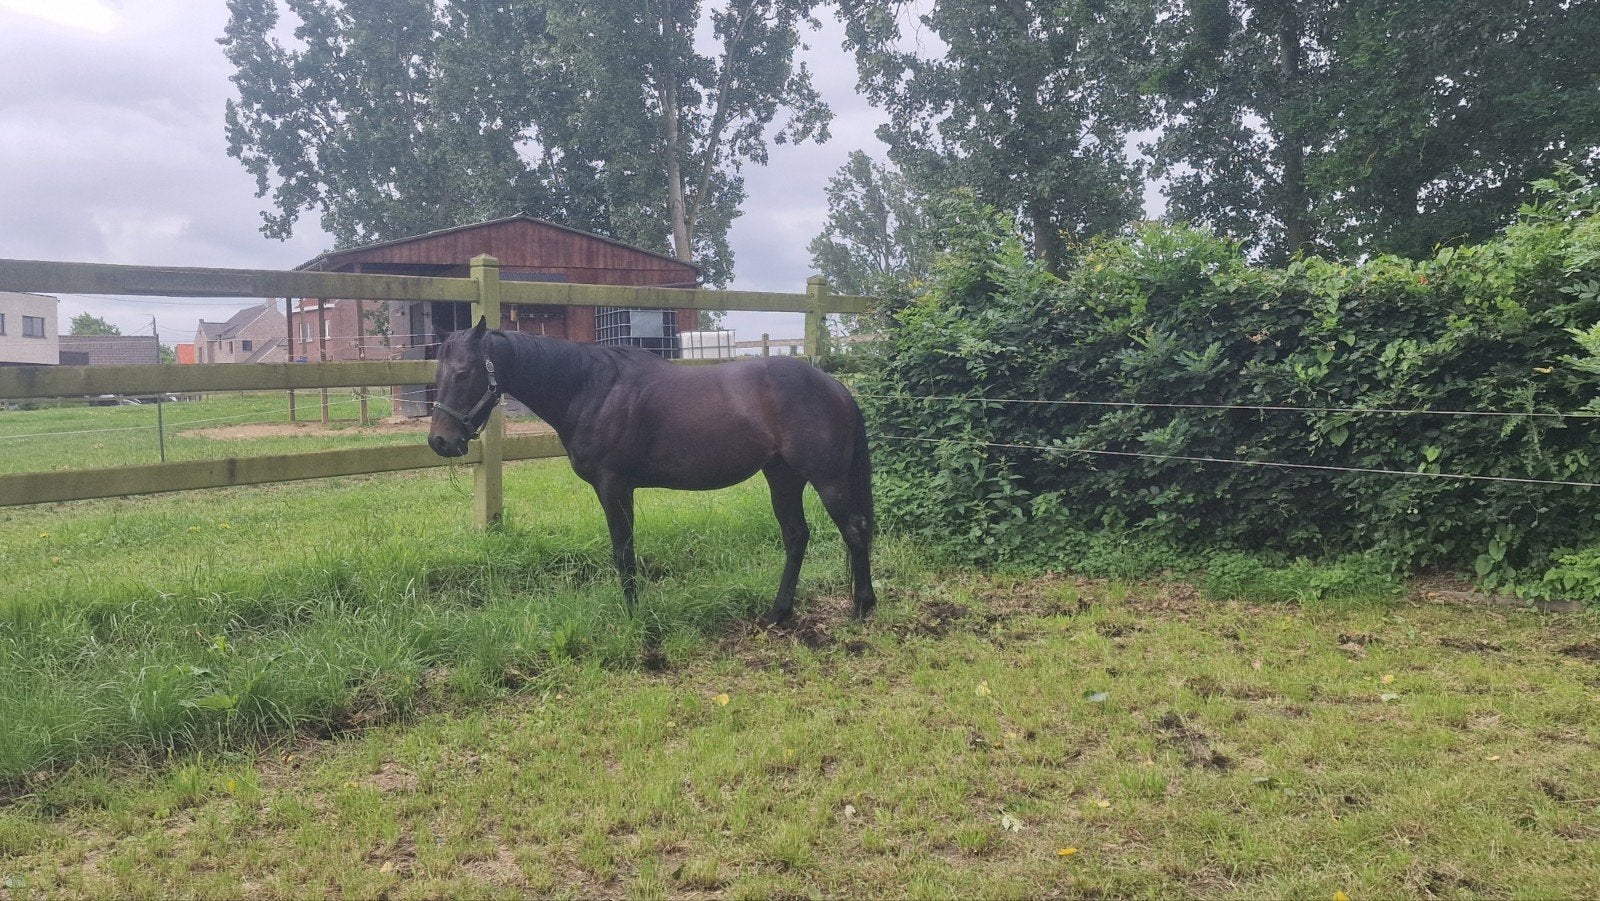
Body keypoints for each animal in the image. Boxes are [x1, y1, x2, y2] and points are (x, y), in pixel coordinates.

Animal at [427, 318, 876, 625]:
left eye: (464, 372)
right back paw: (779, 612)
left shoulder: (614, 486)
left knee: (854, 531)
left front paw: (633, 615)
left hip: (827, 480)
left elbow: (623, 552)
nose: (440, 441)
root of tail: (835, 387)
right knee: (796, 537)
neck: (591, 389)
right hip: (782, 477)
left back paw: (861, 607)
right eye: (439, 371)